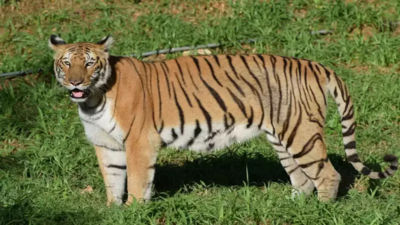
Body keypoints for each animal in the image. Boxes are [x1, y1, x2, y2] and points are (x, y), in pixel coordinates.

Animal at [48, 33, 398, 206]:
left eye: (90, 63)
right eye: (66, 63)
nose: (76, 82)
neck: (94, 100)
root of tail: (314, 64)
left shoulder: (139, 142)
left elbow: (135, 182)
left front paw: (134, 212)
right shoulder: (106, 145)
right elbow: (112, 181)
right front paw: (114, 212)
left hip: (301, 134)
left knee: (327, 175)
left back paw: (320, 213)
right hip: (283, 136)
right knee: (302, 179)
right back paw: (294, 207)